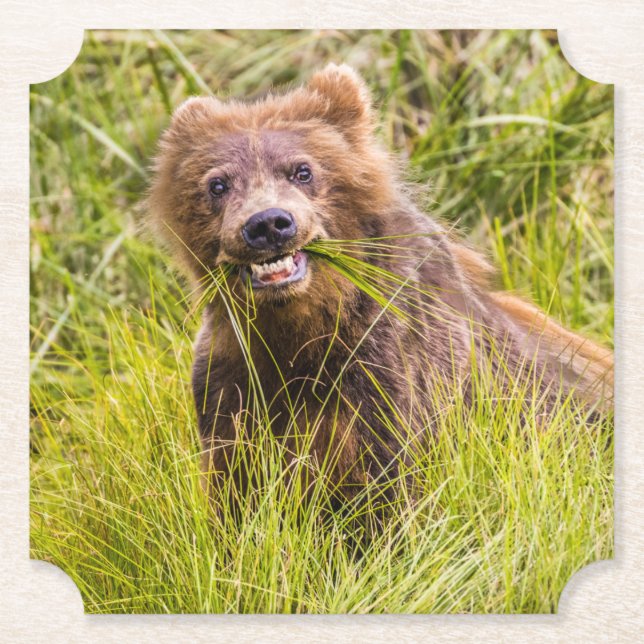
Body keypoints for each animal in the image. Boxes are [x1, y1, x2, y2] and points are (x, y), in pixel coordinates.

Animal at [147, 63, 613, 509]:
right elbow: (237, 486)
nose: (267, 224)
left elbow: (386, 485)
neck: (301, 327)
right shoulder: (234, 374)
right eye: (217, 184)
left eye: (302, 170)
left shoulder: (388, 369)